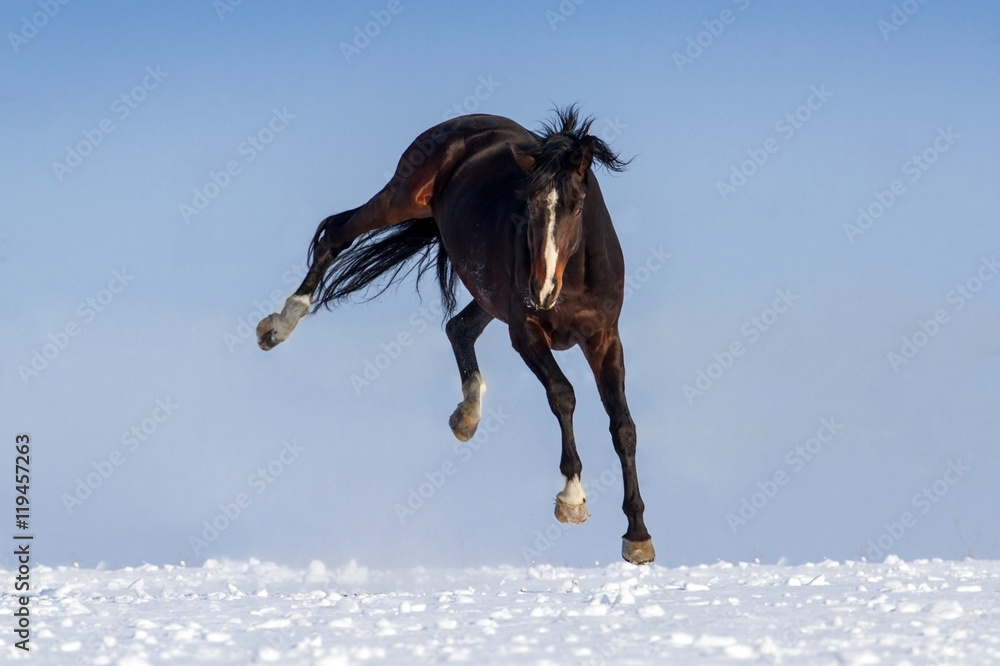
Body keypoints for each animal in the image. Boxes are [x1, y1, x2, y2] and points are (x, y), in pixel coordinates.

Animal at [255, 106, 654, 565]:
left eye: (577, 205)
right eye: (531, 204)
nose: (541, 291)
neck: (572, 280)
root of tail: (465, 122)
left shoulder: (605, 340)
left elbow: (623, 426)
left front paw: (637, 536)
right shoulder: (525, 333)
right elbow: (563, 394)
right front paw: (572, 499)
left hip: (487, 292)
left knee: (457, 327)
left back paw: (467, 415)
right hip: (403, 199)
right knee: (337, 232)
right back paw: (279, 326)